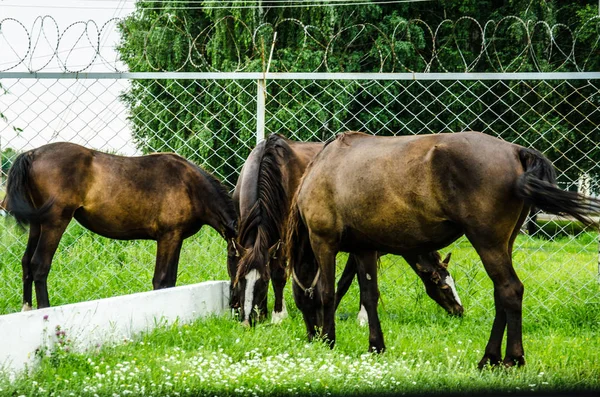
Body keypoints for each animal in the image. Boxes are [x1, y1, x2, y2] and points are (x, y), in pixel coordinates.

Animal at [1, 142, 237, 310]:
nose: (236, 305)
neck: (191, 186)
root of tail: (32, 154)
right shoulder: (168, 237)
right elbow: (161, 280)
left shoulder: (175, 239)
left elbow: (170, 281)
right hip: (55, 222)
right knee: (39, 264)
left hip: (37, 225)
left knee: (26, 263)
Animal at [288, 131, 600, 366]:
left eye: (299, 300)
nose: (310, 335)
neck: (323, 167)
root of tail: (516, 151)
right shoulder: (364, 249)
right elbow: (369, 296)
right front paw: (376, 346)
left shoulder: (323, 242)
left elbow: (327, 292)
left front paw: (328, 340)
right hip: (504, 244)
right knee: (501, 294)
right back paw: (490, 357)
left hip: (487, 242)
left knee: (510, 290)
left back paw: (511, 359)